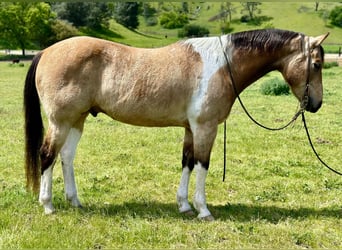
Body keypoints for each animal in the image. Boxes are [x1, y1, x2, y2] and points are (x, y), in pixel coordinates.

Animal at [22, 29, 328, 221]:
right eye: (316, 64)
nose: (316, 104)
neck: (222, 65)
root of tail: (47, 51)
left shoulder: (191, 128)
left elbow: (187, 163)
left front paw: (184, 205)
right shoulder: (205, 127)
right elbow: (202, 165)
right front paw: (203, 210)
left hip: (78, 119)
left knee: (66, 156)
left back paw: (74, 201)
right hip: (60, 121)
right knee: (47, 156)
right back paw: (48, 205)